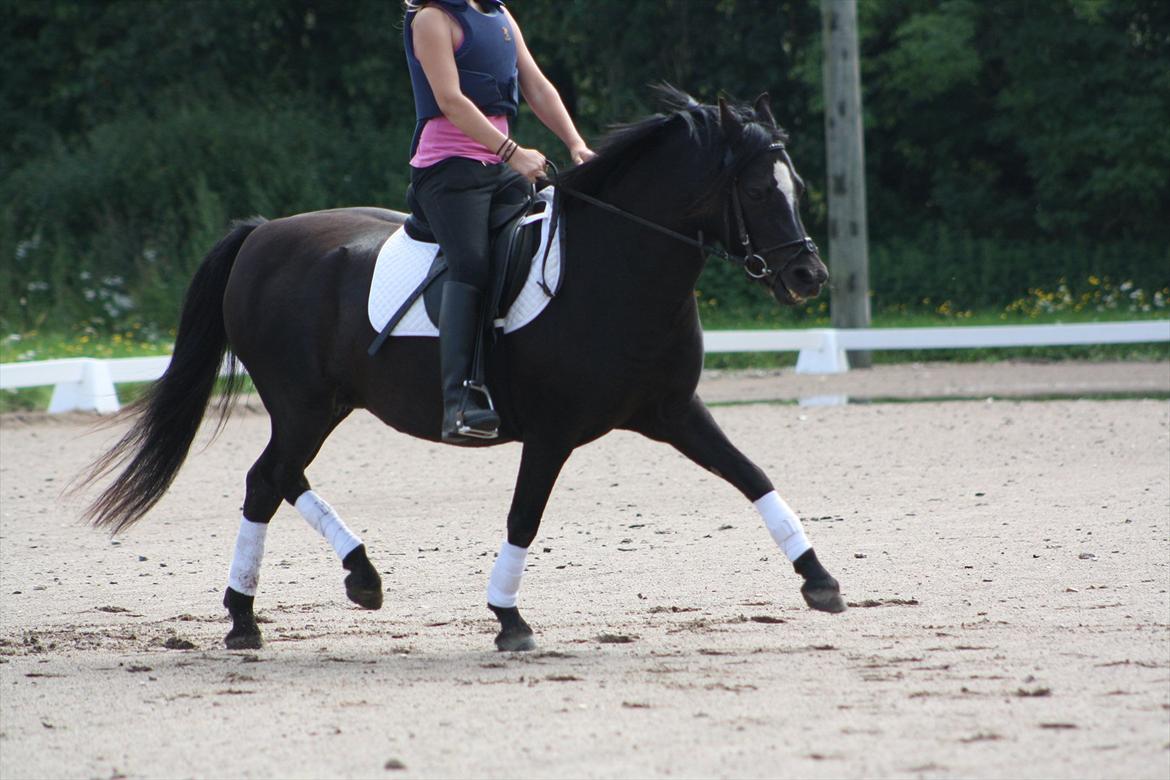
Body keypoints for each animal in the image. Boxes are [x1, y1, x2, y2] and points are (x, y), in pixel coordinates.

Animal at [81, 87, 845, 652]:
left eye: (798, 184)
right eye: (757, 190)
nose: (808, 276)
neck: (616, 268)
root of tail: (263, 232)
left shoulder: (673, 411)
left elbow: (752, 476)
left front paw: (820, 580)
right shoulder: (553, 433)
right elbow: (524, 516)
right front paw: (509, 619)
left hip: (321, 406)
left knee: (281, 476)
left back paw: (360, 578)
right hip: (304, 405)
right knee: (264, 482)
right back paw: (244, 618)